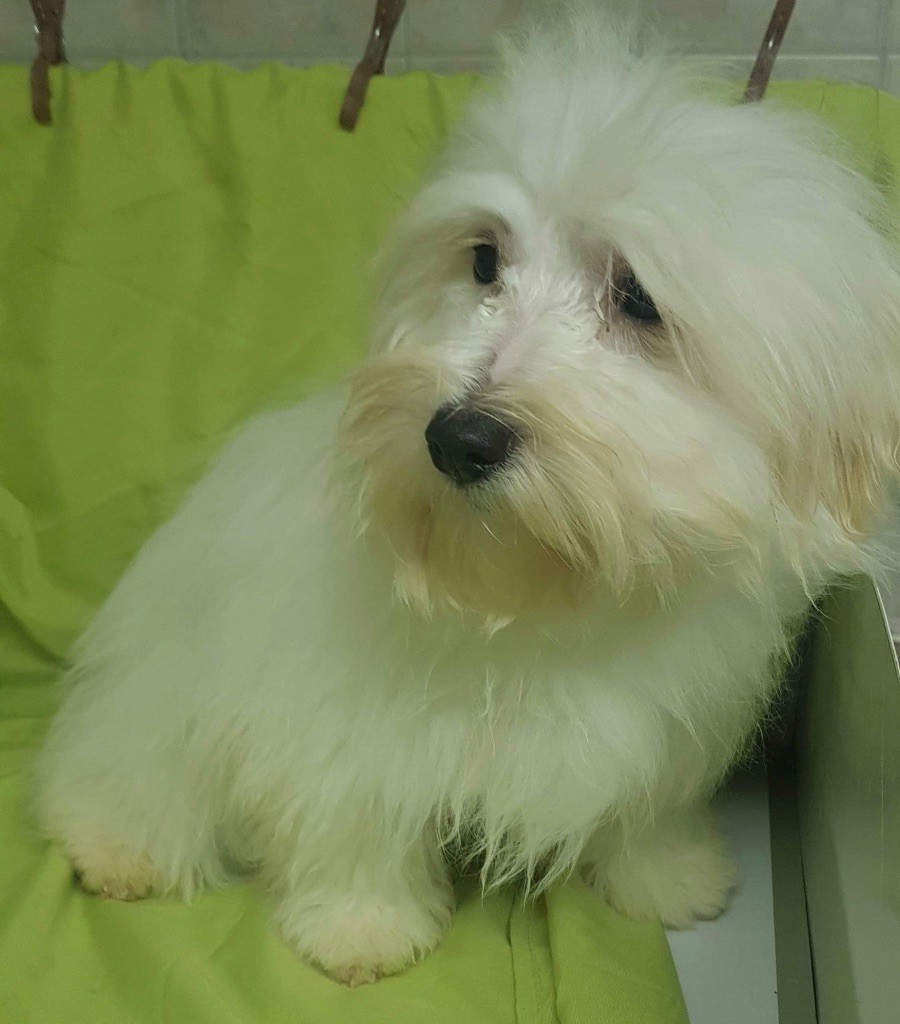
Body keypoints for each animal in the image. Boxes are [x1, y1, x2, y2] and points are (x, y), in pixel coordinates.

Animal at [36, 11, 900, 986]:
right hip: (156, 691)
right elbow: (352, 818)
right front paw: (361, 928)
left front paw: (665, 877)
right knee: (126, 772)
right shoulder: (335, 717)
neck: (539, 598)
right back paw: (120, 848)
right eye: (484, 259)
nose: (457, 437)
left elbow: (648, 807)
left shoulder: (666, 721)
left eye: (637, 296)